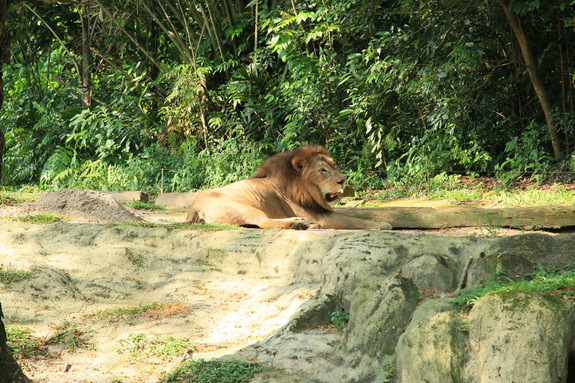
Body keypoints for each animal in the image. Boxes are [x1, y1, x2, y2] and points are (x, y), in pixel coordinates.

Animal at [187, 143, 394, 228]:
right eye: (322, 170)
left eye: (333, 164)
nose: (342, 180)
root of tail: (194, 206)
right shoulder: (320, 215)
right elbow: (355, 220)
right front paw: (382, 224)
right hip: (244, 208)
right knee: (264, 222)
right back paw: (299, 224)